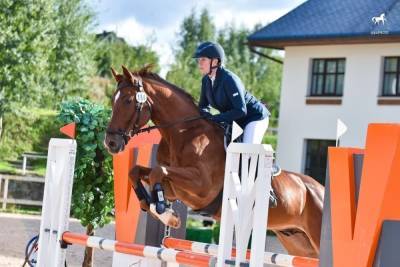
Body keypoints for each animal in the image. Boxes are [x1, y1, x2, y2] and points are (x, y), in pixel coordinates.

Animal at [104, 66, 324, 258]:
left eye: (128, 100)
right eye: (114, 100)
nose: (111, 143)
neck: (183, 133)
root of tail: (320, 189)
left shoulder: (201, 186)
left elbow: (159, 171)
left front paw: (166, 213)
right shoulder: (176, 189)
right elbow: (138, 171)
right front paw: (156, 207)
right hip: (297, 241)